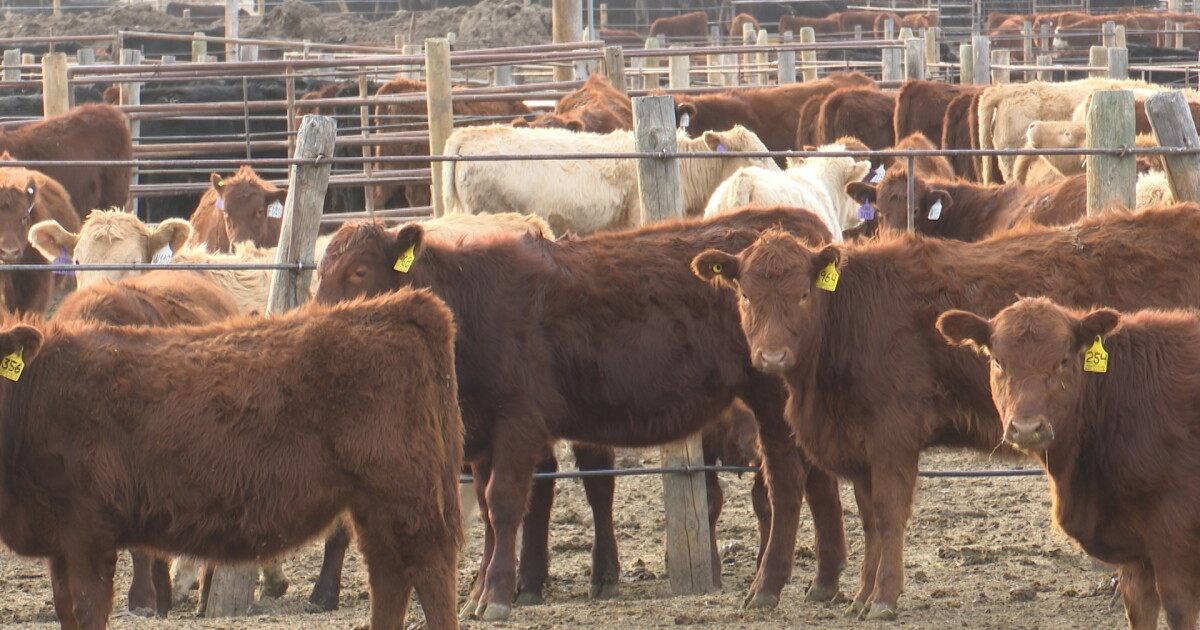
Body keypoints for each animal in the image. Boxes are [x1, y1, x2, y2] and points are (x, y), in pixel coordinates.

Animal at [0, 288, 464, 630]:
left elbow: (87, 609)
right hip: (373, 504)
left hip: (405, 496)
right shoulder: (60, 542)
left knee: (431, 571)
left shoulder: (88, 533)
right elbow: (66, 610)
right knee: (388, 575)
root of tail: (395, 306)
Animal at [316, 206, 851, 621]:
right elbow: (487, 512)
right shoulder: (483, 432)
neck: (472, 302)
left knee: (785, 482)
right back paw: (823, 582)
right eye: (320, 272)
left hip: (771, 396)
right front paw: (478, 591)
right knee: (818, 480)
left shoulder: (519, 421)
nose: (318, 323)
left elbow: (505, 504)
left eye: (359, 273)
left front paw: (495, 595)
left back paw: (767, 585)